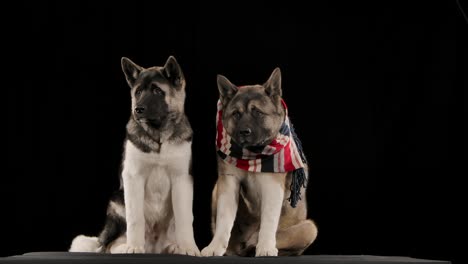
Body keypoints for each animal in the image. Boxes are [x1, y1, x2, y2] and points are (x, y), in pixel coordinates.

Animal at [68, 55, 200, 256]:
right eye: (138, 92)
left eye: (157, 91)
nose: (138, 109)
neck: (158, 136)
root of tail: (154, 247)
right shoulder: (133, 177)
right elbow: (136, 218)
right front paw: (134, 247)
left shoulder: (182, 179)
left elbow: (184, 217)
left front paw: (188, 248)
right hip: (117, 200)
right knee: (108, 245)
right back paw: (125, 247)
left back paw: (172, 247)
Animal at [201, 67, 318, 256]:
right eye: (236, 114)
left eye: (257, 112)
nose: (244, 131)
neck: (252, 156)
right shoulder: (228, 182)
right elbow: (224, 219)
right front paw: (215, 247)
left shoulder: (273, 185)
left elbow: (269, 219)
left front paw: (266, 248)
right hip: (216, 190)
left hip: (309, 228)